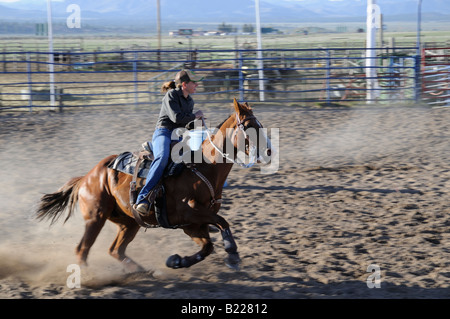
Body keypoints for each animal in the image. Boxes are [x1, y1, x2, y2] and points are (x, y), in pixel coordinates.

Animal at [36, 99, 270, 272]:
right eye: (250, 127)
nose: (268, 151)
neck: (203, 166)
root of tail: (87, 177)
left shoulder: (192, 224)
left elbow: (207, 246)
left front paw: (176, 261)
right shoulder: (190, 212)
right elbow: (222, 222)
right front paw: (232, 252)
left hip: (129, 223)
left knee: (115, 250)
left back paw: (139, 271)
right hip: (95, 217)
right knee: (82, 249)